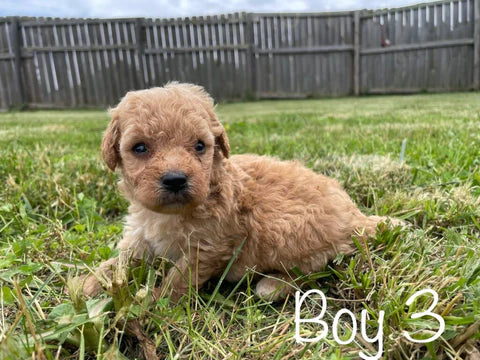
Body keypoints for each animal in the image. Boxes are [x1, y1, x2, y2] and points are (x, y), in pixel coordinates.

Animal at [83, 83, 398, 302]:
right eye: (139, 148)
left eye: (200, 146)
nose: (175, 180)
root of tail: (356, 215)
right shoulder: (140, 233)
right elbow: (122, 258)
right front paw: (90, 283)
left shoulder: (209, 247)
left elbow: (178, 280)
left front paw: (153, 305)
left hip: (286, 229)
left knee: (316, 268)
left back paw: (273, 285)